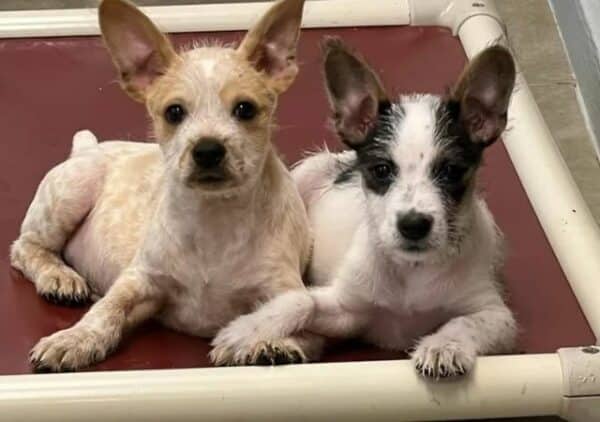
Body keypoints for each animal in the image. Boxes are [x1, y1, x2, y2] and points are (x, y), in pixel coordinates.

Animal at [11, 0, 318, 370]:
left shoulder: (285, 289)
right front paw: (75, 338)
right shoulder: (139, 279)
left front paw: (265, 342)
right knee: (25, 247)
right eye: (174, 112)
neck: (214, 219)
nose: (208, 150)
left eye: (245, 109)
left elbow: (292, 319)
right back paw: (59, 277)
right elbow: (105, 311)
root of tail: (87, 147)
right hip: (71, 191)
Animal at [213, 38, 516, 378]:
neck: (411, 271)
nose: (413, 225)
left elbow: (464, 323)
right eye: (381, 170)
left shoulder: (496, 315)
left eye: (451, 171)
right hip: (304, 176)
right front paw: (245, 331)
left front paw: (443, 346)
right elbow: (301, 301)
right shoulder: (347, 309)